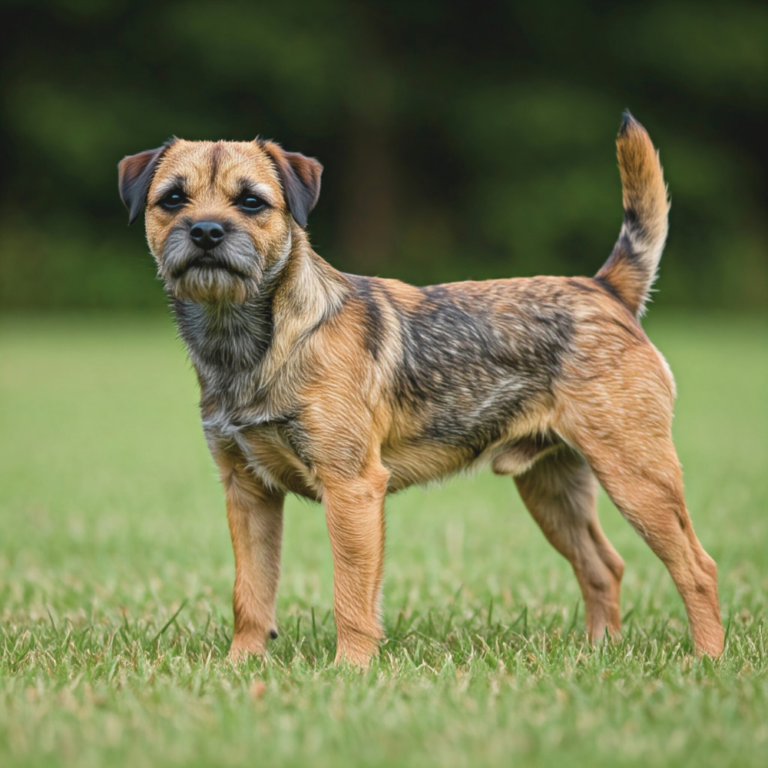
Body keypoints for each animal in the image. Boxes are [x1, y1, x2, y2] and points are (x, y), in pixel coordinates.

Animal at [117, 112, 724, 664]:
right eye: (173, 199)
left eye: (250, 202)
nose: (206, 232)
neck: (252, 343)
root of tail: (605, 288)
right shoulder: (247, 492)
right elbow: (251, 592)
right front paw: (241, 666)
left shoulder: (352, 488)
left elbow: (351, 596)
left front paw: (350, 671)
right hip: (554, 487)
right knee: (603, 566)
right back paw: (600, 653)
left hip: (636, 473)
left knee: (697, 566)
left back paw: (707, 660)